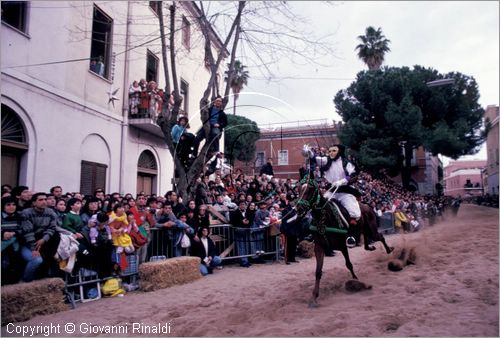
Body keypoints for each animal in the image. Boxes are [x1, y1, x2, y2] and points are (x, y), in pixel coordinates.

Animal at [294, 178, 392, 308]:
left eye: (310, 190)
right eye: (299, 189)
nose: (299, 208)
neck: (325, 219)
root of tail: (367, 205)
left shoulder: (342, 245)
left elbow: (348, 264)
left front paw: (356, 280)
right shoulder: (319, 247)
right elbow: (318, 272)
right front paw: (314, 297)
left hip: (372, 231)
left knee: (380, 237)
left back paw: (389, 250)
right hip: (365, 230)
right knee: (367, 241)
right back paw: (371, 247)